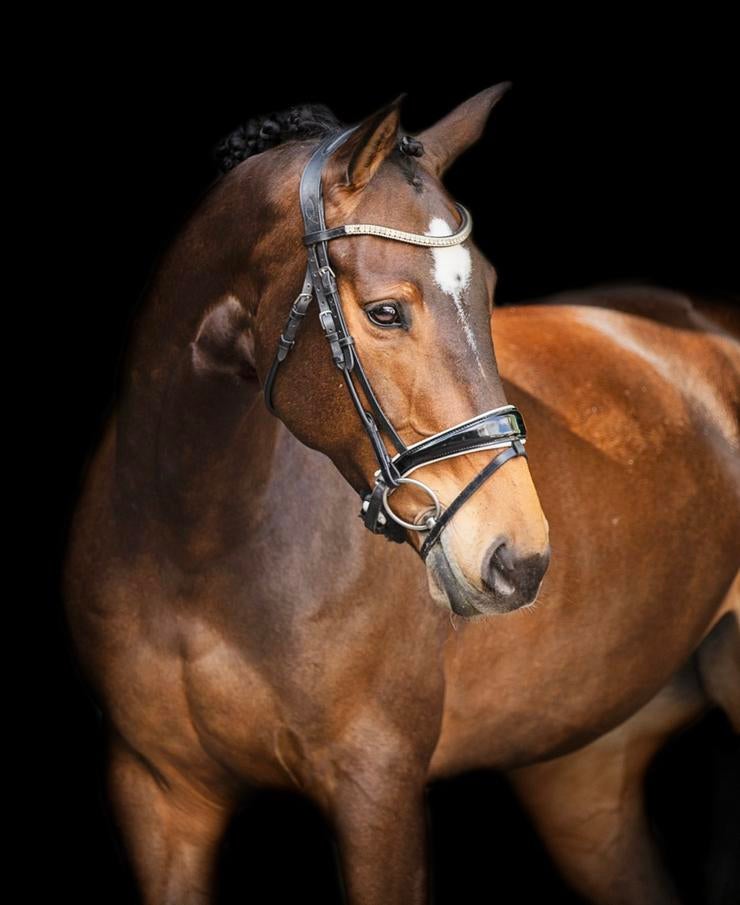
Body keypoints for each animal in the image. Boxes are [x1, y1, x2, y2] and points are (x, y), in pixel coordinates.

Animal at [61, 87, 739, 905]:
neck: (191, 543)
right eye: (386, 312)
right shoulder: (158, 797)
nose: (518, 559)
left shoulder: (375, 790)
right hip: (582, 777)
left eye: (489, 290)